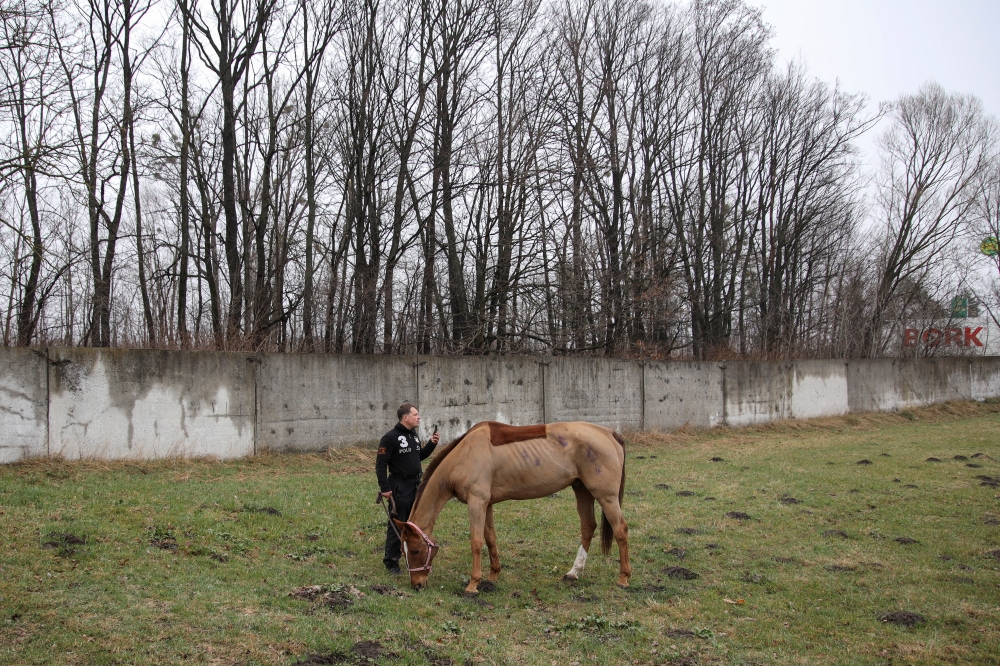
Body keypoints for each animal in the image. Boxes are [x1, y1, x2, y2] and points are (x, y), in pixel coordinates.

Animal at [391, 420, 630, 595]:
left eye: (415, 550)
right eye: (404, 551)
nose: (417, 584)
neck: (465, 455)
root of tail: (609, 433)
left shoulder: (477, 502)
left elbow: (476, 542)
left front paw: (473, 584)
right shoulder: (486, 504)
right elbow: (490, 538)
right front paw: (493, 575)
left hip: (606, 496)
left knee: (620, 530)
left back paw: (624, 578)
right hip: (582, 490)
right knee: (588, 526)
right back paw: (573, 573)